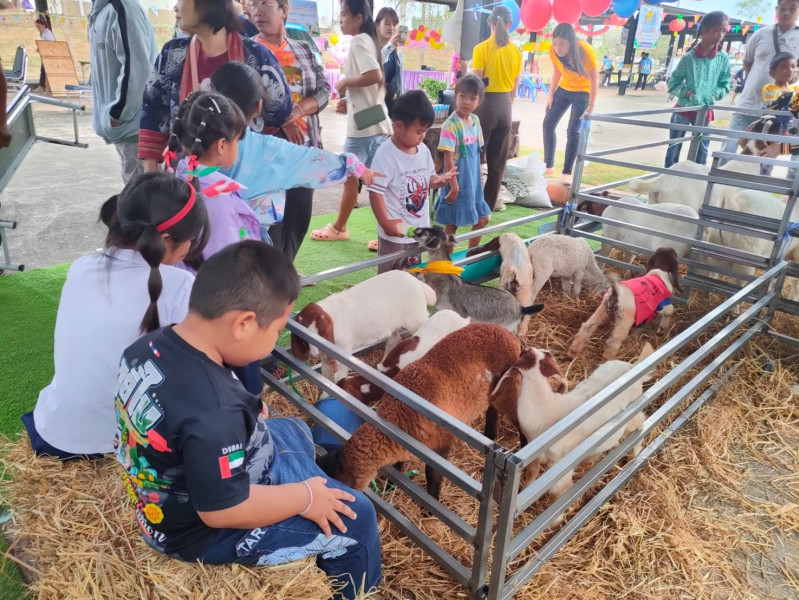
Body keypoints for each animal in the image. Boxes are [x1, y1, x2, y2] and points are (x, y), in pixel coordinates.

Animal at [290, 270, 437, 382]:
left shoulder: (343, 352)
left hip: (416, 317)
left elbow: (338, 377)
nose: (313, 354)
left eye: (320, 329)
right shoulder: (326, 358)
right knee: (394, 339)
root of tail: (418, 284)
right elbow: (326, 376)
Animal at [318, 323, 524, 500]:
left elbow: (433, 474)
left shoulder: (442, 442)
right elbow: (397, 465)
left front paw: (432, 504)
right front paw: (391, 486)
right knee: (492, 411)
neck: (399, 414)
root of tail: (508, 333)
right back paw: (489, 434)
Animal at [489, 344, 653, 504]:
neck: (546, 407)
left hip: (632, 412)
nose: (526, 347)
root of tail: (633, 366)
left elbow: (558, 492)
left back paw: (635, 454)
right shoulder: (533, 457)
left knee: (640, 422)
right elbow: (531, 476)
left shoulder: (560, 467)